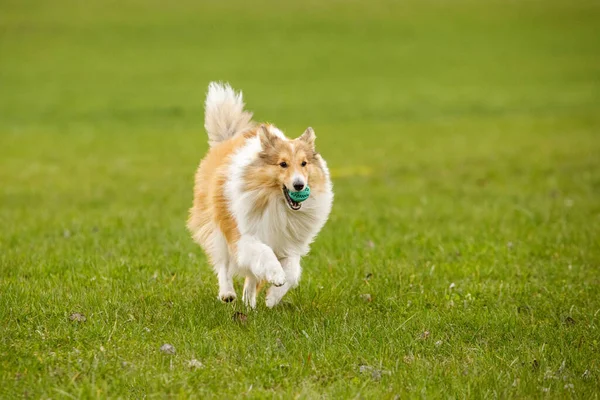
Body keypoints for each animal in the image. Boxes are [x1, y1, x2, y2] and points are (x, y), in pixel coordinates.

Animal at [188, 82, 332, 310]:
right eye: (283, 164)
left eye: (304, 163)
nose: (299, 185)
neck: (278, 205)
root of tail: (227, 139)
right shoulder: (245, 237)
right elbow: (264, 253)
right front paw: (276, 275)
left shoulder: (289, 243)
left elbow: (292, 272)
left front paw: (273, 296)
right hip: (218, 229)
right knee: (223, 265)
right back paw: (227, 294)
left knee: (250, 278)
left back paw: (249, 303)